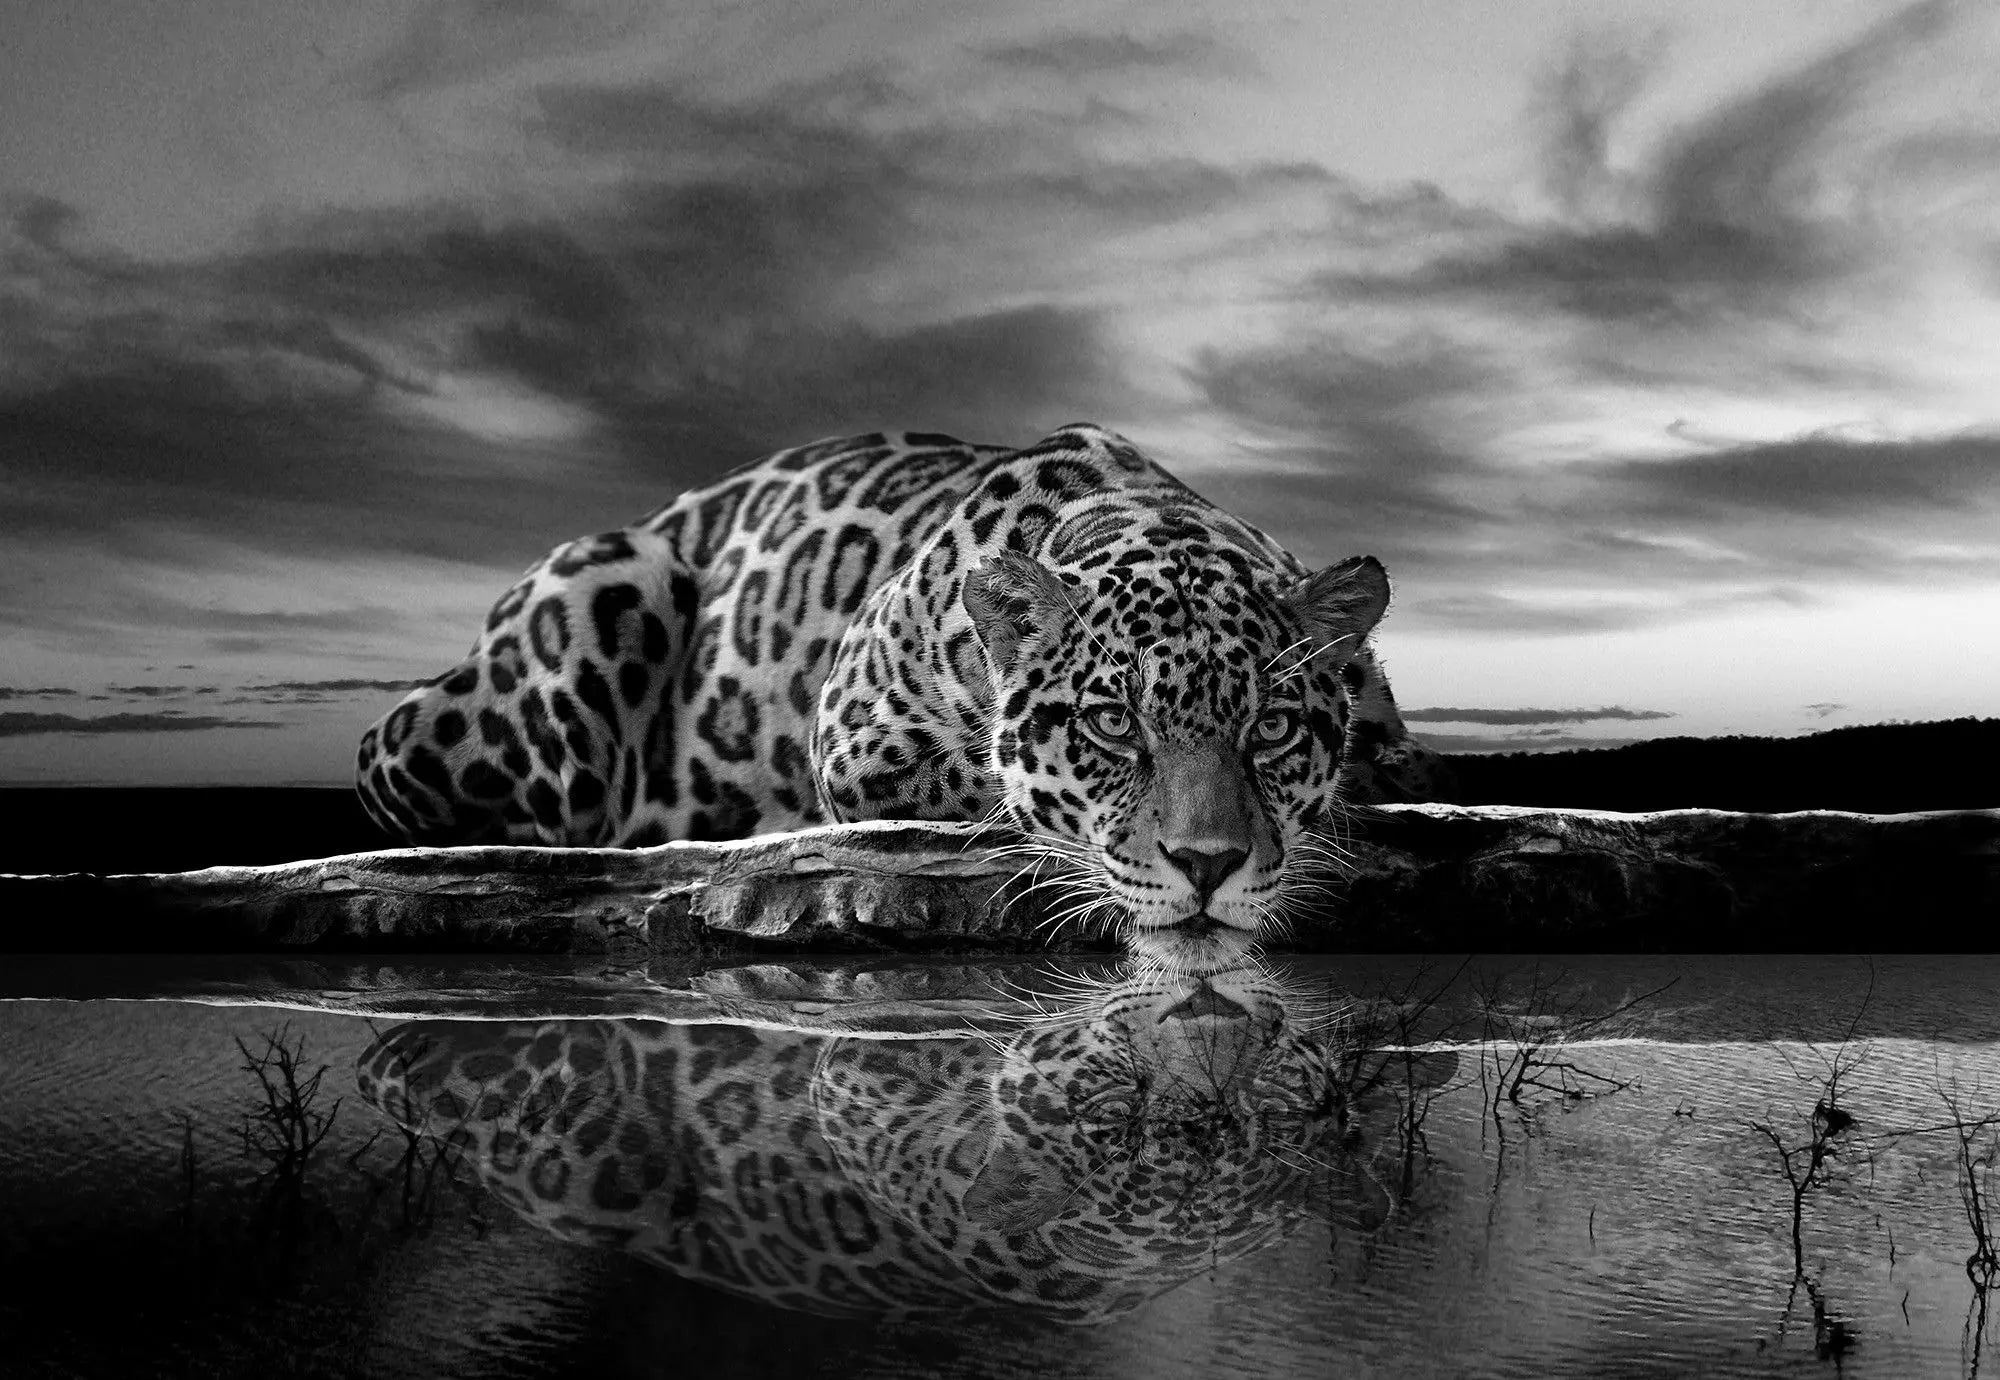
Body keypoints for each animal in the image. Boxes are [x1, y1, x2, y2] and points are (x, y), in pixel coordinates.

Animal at [356, 424, 1452, 972]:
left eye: (1271, 728)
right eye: (1111, 725)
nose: (1209, 868)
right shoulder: (856, 740)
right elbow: (1000, 795)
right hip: (602, 585)